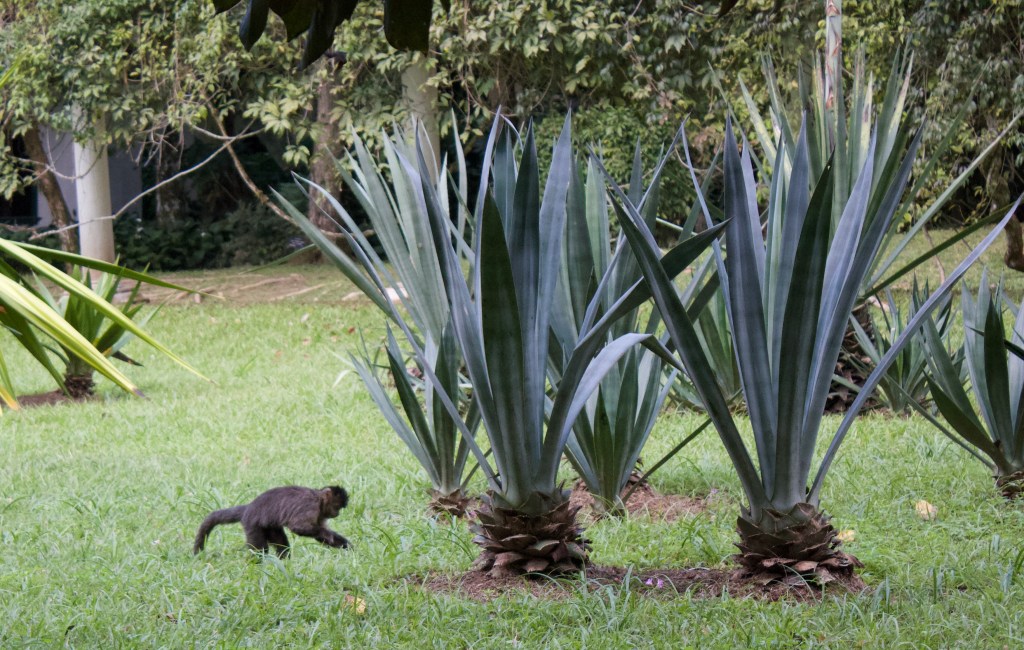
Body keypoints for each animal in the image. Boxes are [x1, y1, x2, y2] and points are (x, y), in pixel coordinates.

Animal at [193, 485, 350, 557]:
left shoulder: (321, 513)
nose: (337, 513)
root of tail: (249, 507)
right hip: (252, 523)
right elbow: (298, 527)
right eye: (337, 506)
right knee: (260, 550)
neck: (318, 498)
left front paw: (347, 547)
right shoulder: (310, 506)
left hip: (268, 526)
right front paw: (326, 534)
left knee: (281, 543)